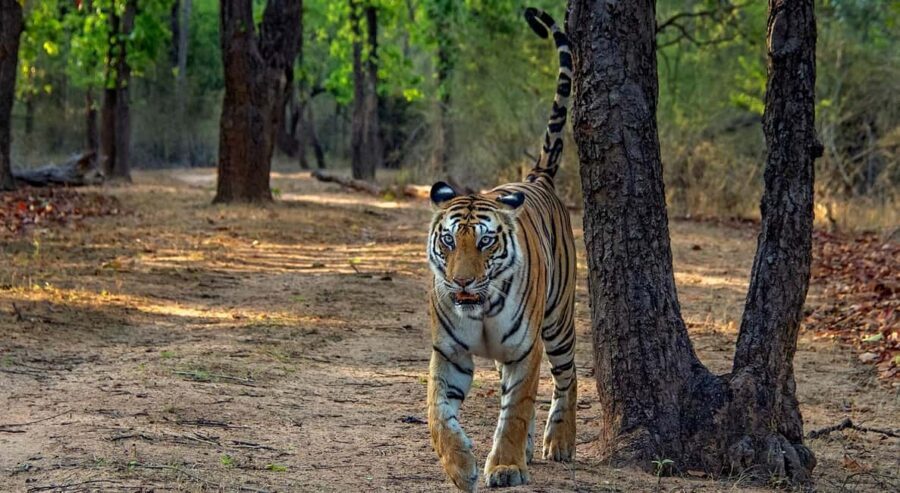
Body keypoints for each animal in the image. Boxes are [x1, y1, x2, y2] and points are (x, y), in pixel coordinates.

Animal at [425, 7, 577, 491]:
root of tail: (536, 177)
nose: (462, 281)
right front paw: (460, 467)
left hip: (557, 321)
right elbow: (438, 413)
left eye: (486, 241)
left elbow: (515, 411)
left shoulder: (525, 350)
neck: (481, 311)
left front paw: (506, 467)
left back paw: (559, 442)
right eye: (449, 241)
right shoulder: (449, 353)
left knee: (567, 377)